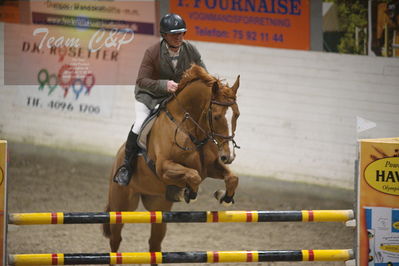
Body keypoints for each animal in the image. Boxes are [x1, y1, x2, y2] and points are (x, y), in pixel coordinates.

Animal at [103, 64, 241, 258]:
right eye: (216, 116)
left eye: (237, 115)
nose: (228, 156)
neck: (189, 127)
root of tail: (118, 157)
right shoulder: (164, 168)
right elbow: (193, 176)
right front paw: (187, 193)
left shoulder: (210, 167)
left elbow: (232, 178)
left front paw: (224, 196)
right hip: (121, 206)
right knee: (116, 239)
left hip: (159, 208)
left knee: (155, 243)